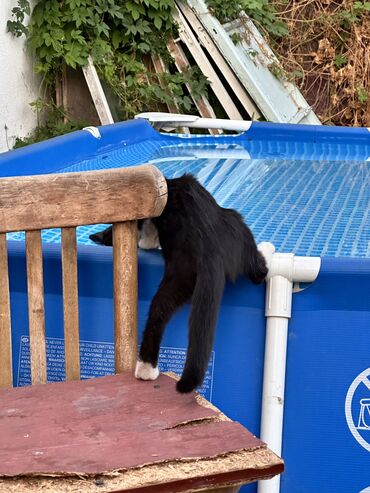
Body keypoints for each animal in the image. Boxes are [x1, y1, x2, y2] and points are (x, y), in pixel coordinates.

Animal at [90, 173, 268, 392]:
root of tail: (212, 250)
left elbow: (147, 233)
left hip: (182, 272)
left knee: (159, 310)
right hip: (235, 232)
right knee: (260, 270)